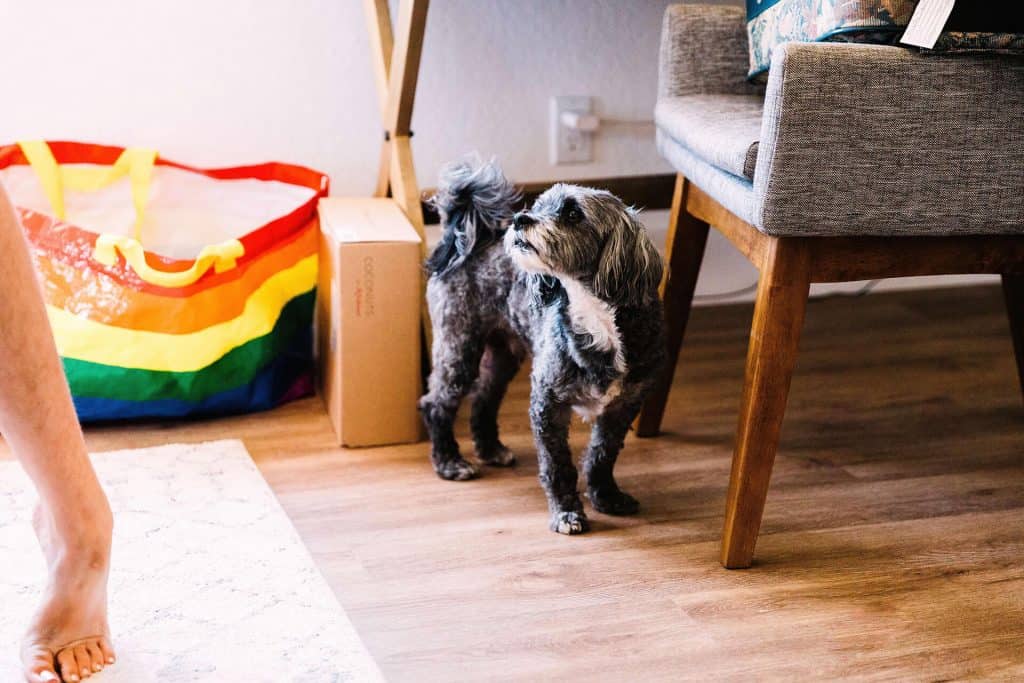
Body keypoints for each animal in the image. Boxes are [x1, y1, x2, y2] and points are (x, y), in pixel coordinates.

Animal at [417, 160, 663, 532]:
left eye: (573, 213)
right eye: (539, 205)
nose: (521, 218)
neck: (594, 315)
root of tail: (469, 240)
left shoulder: (624, 405)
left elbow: (603, 454)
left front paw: (607, 496)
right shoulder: (549, 402)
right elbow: (557, 464)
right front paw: (566, 513)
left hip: (502, 355)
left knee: (484, 397)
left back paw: (491, 450)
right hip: (458, 344)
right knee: (436, 403)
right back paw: (449, 462)